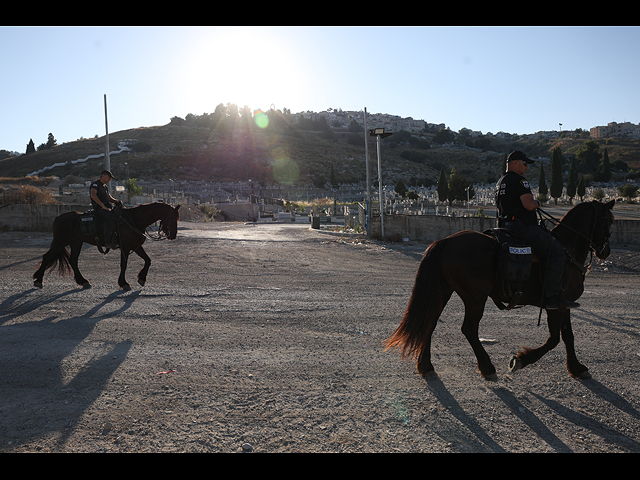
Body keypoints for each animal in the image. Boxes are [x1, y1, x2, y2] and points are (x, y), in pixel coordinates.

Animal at [34, 202, 181, 290]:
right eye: (173, 217)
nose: (173, 235)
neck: (133, 220)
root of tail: (57, 218)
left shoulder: (136, 246)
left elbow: (148, 260)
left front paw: (142, 278)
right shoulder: (125, 248)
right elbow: (124, 265)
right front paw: (124, 283)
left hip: (76, 242)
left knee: (73, 260)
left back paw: (83, 281)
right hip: (60, 242)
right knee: (47, 257)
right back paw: (38, 279)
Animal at [384, 200, 616, 382]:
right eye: (609, 220)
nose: (605, 251)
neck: (567, 248)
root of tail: (446, 241)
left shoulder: (564, 304)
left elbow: (568, 336)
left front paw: (576, 368)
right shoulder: (555, 305)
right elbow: (554, 339)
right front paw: (520, 360)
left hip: (443, 292)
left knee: (429, 323)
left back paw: (425, 366)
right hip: (475, 298)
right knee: (469, 329)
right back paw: (487, 368)